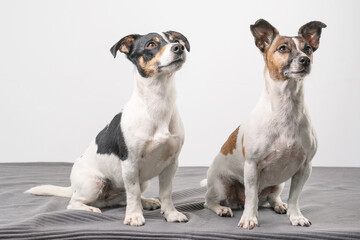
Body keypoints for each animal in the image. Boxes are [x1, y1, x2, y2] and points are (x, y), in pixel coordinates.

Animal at [25, 31, 191, 226]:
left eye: (175, 40)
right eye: (151, 44)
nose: (179, 47)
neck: (158, 104)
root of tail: (72, 187)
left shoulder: (171, 164)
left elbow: (165, 193)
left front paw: (171, 214)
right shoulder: (130, 164)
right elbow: (133, 193)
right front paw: (134, 216)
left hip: (142, 182)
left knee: (124, 198)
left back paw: (146, 202)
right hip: (93, 184)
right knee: (74, 203)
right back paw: (90, 208)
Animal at [202, 19, 326, 230]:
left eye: (308, 49)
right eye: (283, 48)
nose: (305, 60)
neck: (286, 105)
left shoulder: (304, 168)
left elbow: (294, 197)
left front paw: (296, 216)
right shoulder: (252, 166)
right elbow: (251, 197)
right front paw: (249, 219)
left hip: (277, 185)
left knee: (271, 198)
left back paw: (279, 205)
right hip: (220, 185)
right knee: (210, 201)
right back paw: (222, 209)